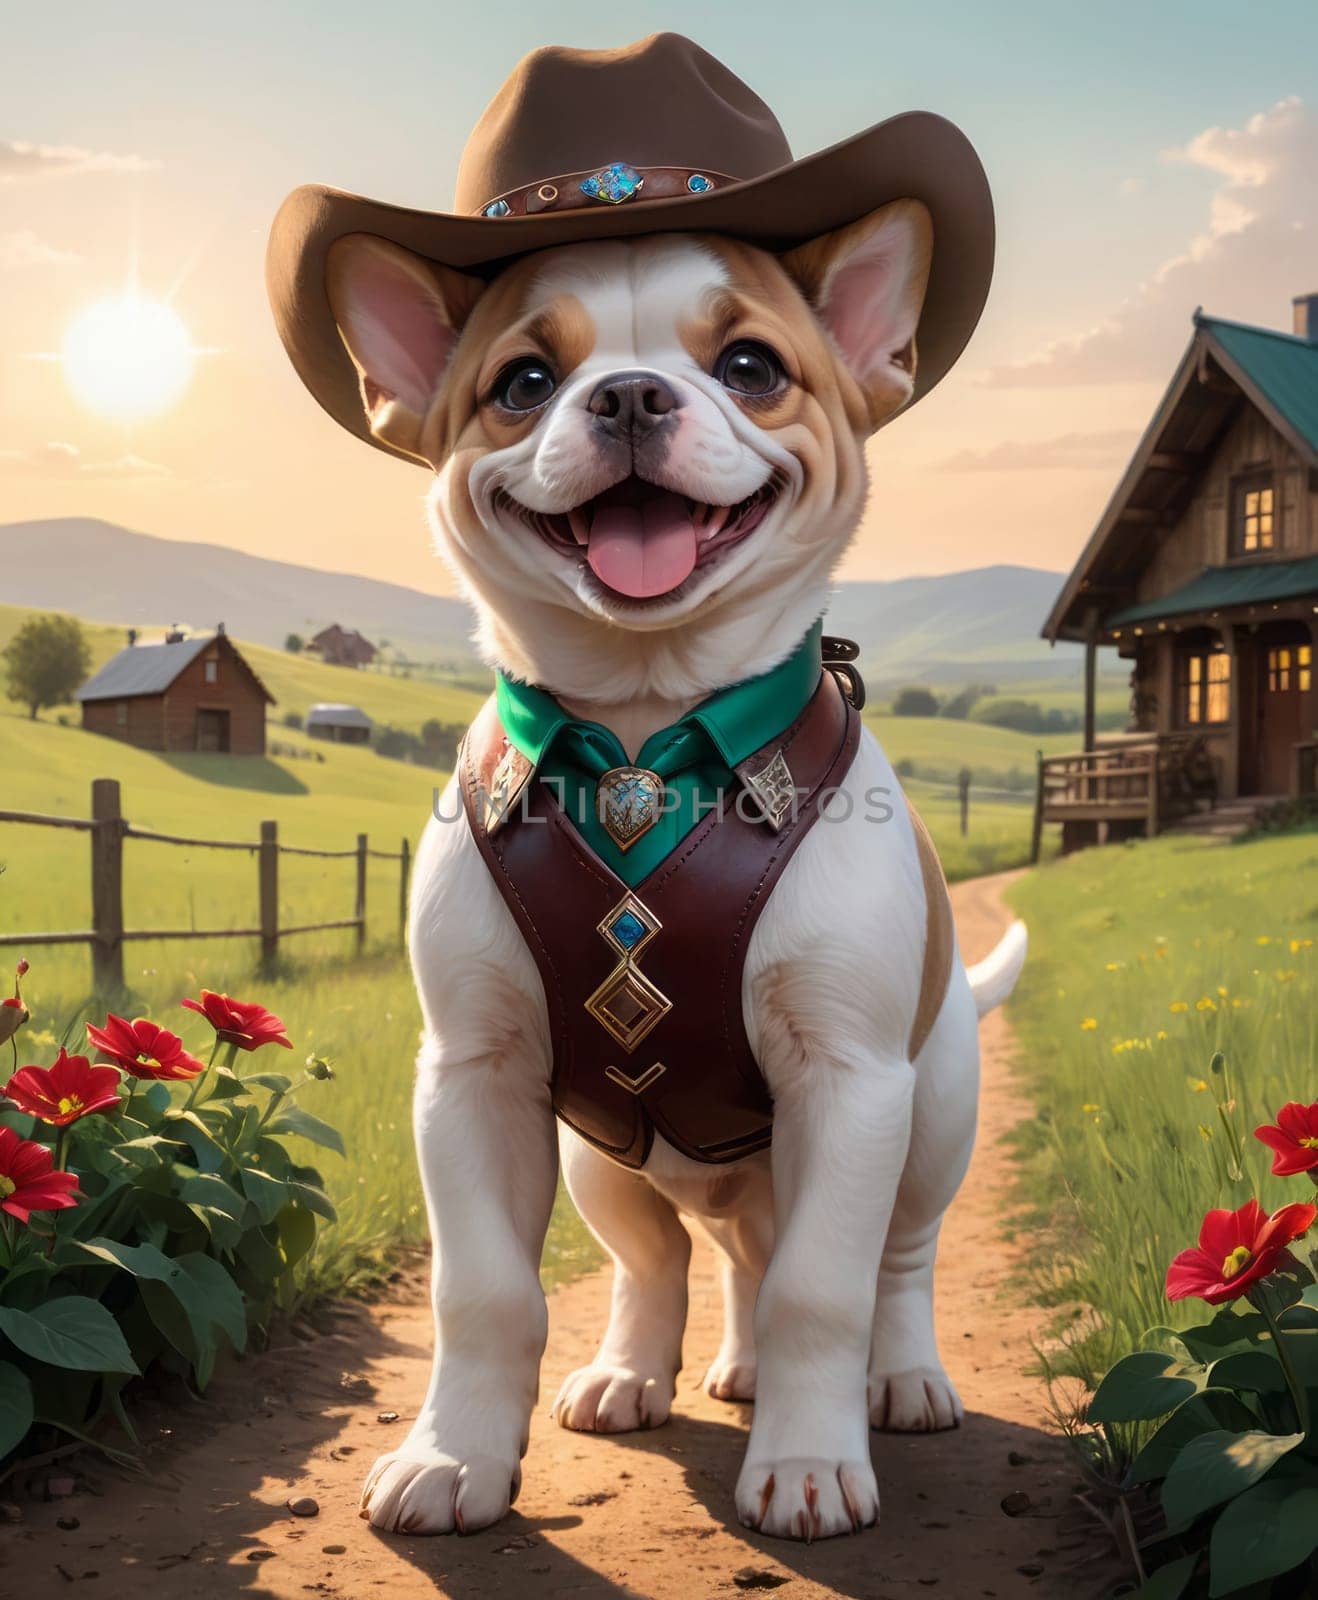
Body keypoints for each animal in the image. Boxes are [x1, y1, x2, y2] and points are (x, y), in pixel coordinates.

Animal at [265, 31, 1017, 1542]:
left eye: (751, 363)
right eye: (521, 383)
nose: (622, 395)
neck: (640, 738)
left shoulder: (850, 1084)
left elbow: (822, 1292)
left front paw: (809, 1457)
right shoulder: (475, 1081)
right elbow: (484, 1292)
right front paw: (452, 1455)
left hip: (928, 1124)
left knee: (884, 1265)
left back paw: (896, 1380)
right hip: (601, 1159)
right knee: (670, 1258)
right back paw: (640, 1370)